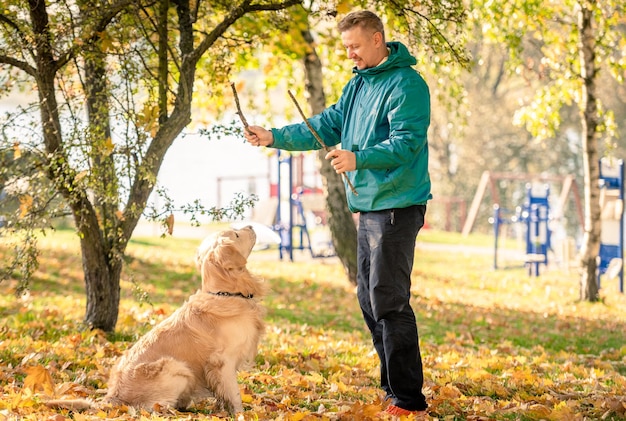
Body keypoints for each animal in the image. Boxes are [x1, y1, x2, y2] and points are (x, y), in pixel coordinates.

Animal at [103, 225, 264, 412]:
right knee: (158, 407)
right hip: (177, 368)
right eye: (237, 235)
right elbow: (235, 394)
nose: (251, 226)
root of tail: (113, 396)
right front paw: (240, 414)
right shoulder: (223, 362)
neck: (225, 293)